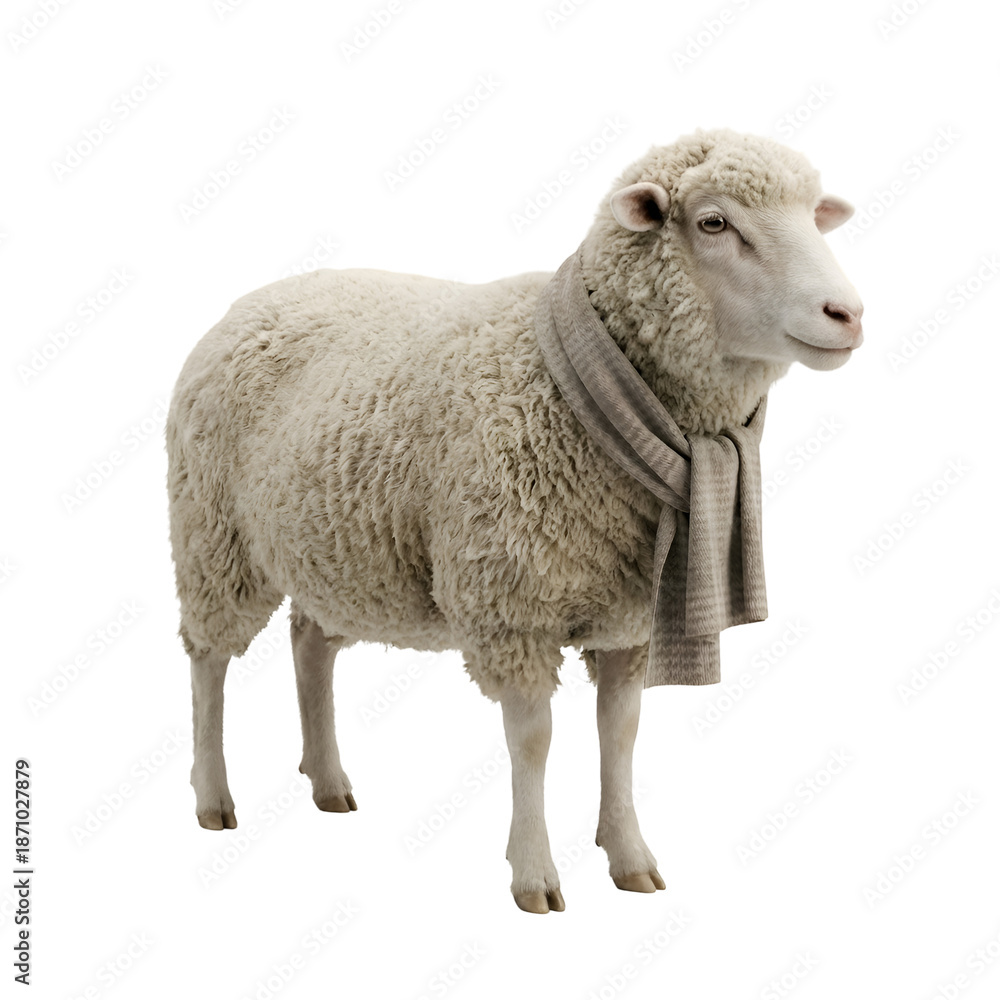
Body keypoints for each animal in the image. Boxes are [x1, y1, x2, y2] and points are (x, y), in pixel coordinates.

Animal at [167, 128, 863, 914]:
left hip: (330, 548)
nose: (847, 313)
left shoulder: (631, 617)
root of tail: (248, 301)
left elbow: (619, 733)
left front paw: (629, 856)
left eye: (814, 216)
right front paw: (534, 874)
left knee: (311, 645)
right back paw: (213, 797)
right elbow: (533, 740)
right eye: (714, 222)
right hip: (214, 537)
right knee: (208, 662)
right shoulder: (512, 608)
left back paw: (328, 781)